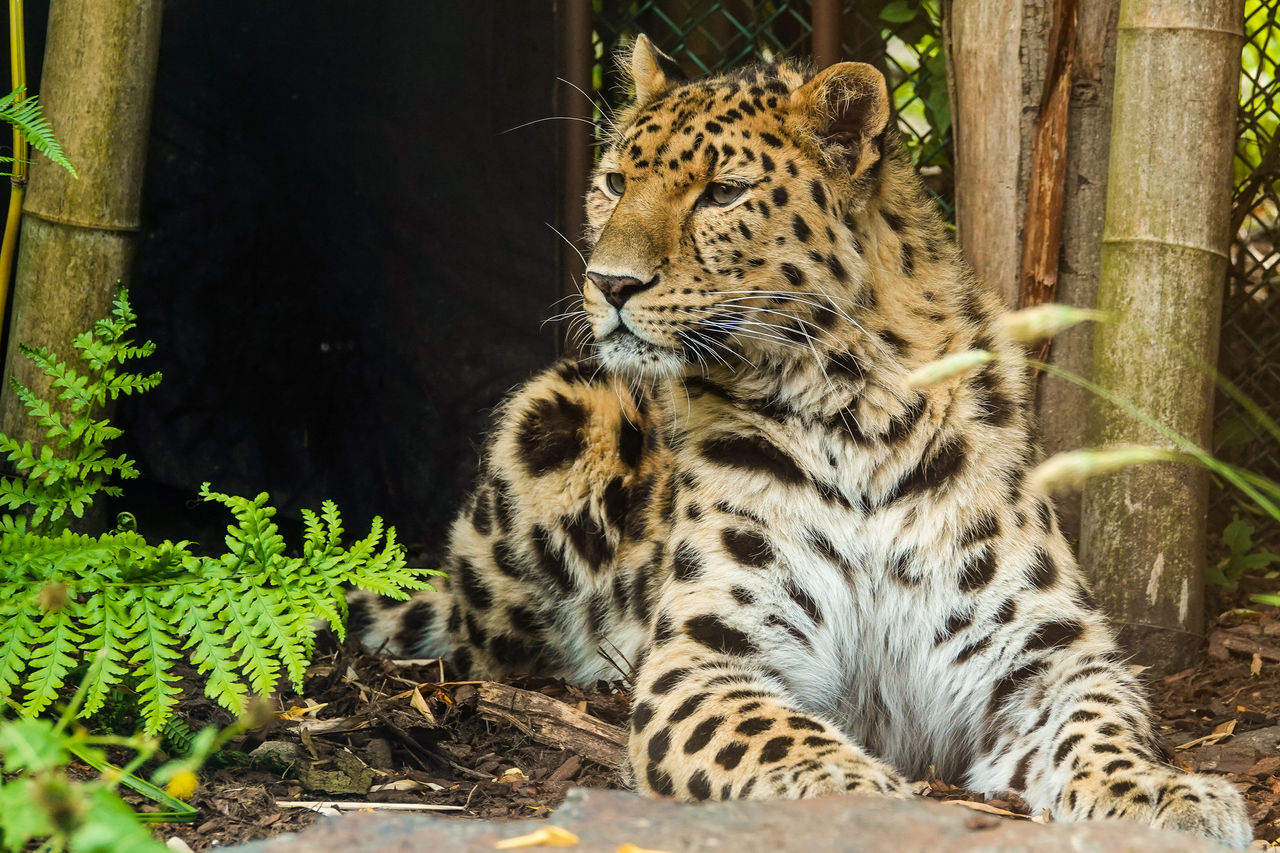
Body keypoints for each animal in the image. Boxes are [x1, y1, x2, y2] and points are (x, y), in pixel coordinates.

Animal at [348, 34, 1249, 845]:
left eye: (723, 192)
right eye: (613, 183)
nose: (608, 284)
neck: (858, 408)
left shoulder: (1045, 651)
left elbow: (1102, 722)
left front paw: (1166, 792)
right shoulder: (709, 658)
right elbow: (781, 738)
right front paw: (864, 797)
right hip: (558, 414)